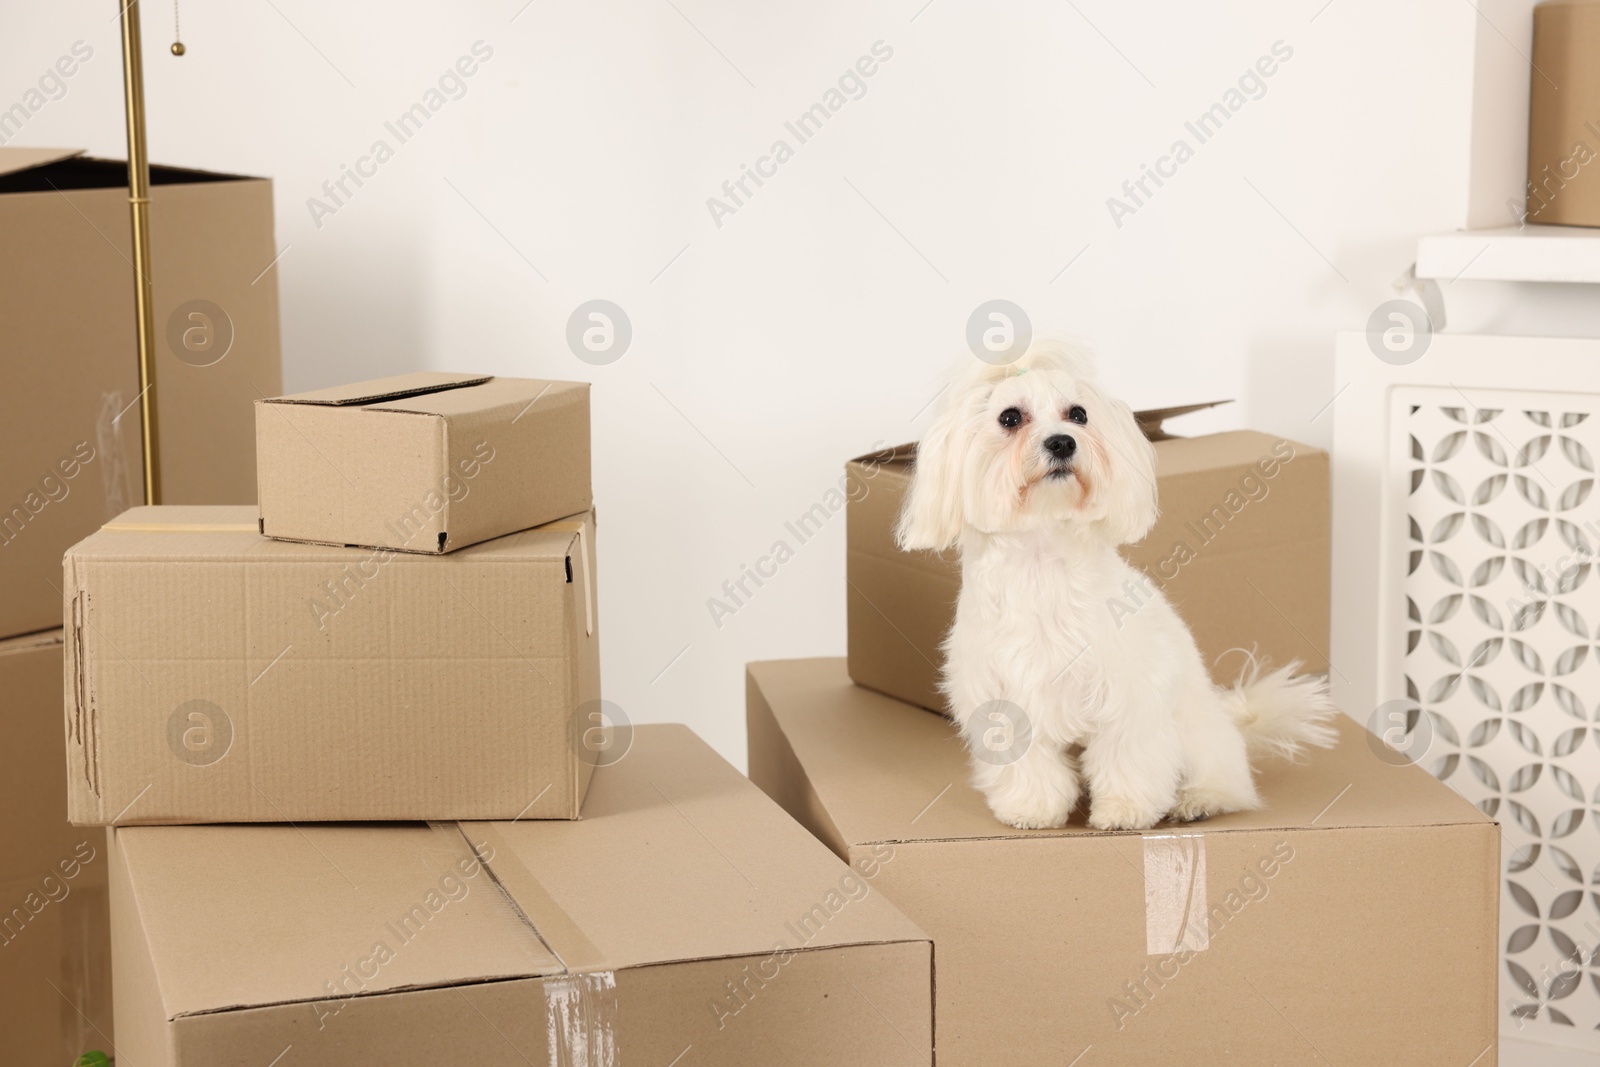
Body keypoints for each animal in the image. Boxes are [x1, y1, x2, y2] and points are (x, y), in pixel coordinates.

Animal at [902, 337, 1337, 831]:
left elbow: (1127, 755)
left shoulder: (1130, 696)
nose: (1062, 441)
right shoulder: (1004, 700)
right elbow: (1029, 765)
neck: (1042, 565)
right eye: (1009, 418)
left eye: (1078, 414)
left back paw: (1198, 799)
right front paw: (1031, 807)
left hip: (1197, 731)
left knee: (1228, 779)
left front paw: (1126, 810)